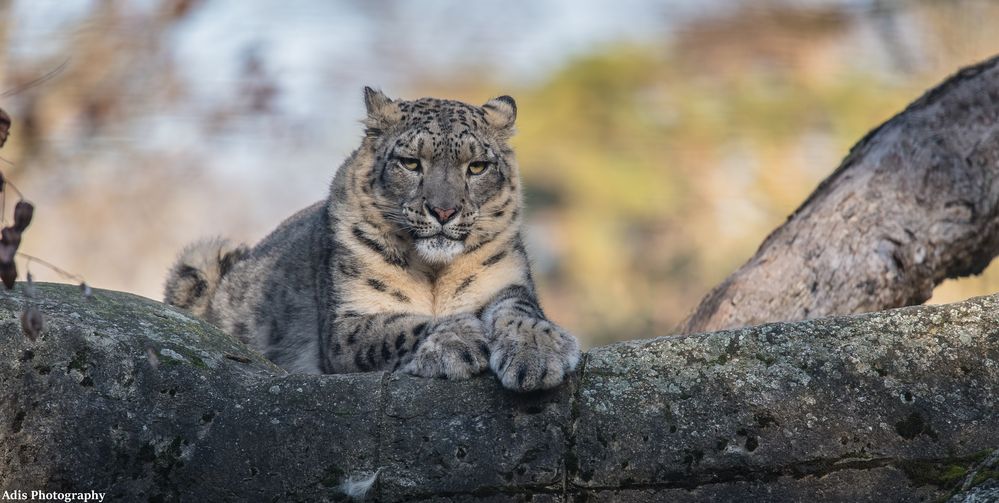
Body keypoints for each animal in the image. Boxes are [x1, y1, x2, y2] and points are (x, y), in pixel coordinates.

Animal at [165, 88, 584, 392]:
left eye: (477, 166)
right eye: (411, 162)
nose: (444, 211)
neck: (434, 275)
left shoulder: (506, 283)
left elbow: (521, 312)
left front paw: (539, 352)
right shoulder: (348, 321)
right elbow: (395, 327)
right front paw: (458, 342)